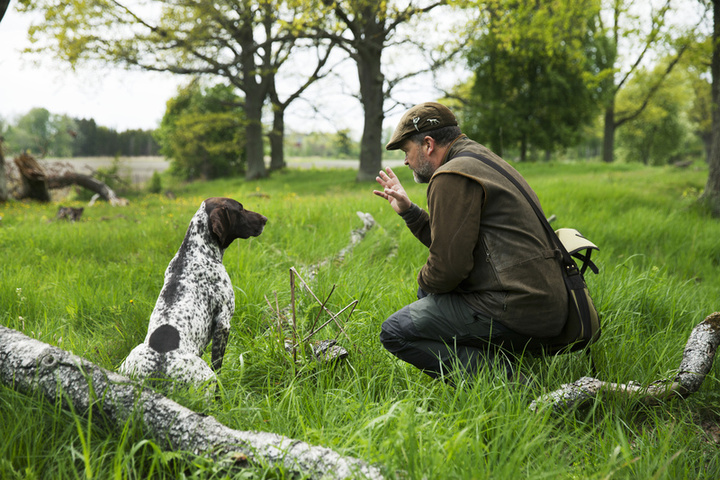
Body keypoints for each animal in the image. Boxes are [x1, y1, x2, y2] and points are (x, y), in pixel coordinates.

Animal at [121, 197, 268, 388]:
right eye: (240, 209)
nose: (265, 219)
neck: (194, 252)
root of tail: (157, 375)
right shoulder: (224, 323)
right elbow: (218, 365)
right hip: (206, 376)